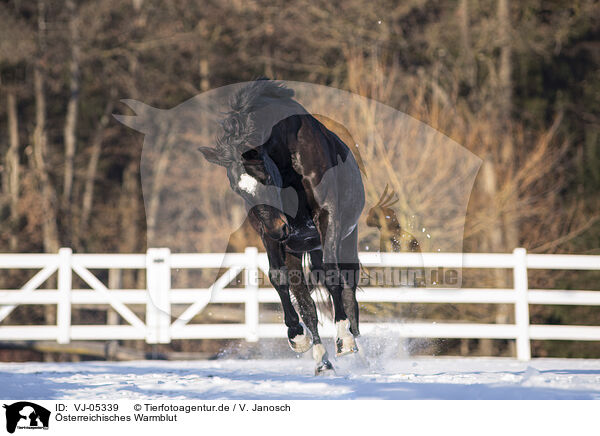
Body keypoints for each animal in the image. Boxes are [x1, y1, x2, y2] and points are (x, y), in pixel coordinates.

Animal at [198, 79, 366, 374]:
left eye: (265, 175)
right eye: (237, 189)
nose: (279, 230)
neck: (290, 153)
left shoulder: (328, 217)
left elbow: (334, 276)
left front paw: (344, 339)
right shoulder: (267, 233)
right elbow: (279, 279)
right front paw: (297, 337)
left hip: (345, 238)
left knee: (348, 288)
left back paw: (353, 345)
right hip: (299, 247)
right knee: (307, 302)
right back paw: (322, 360)